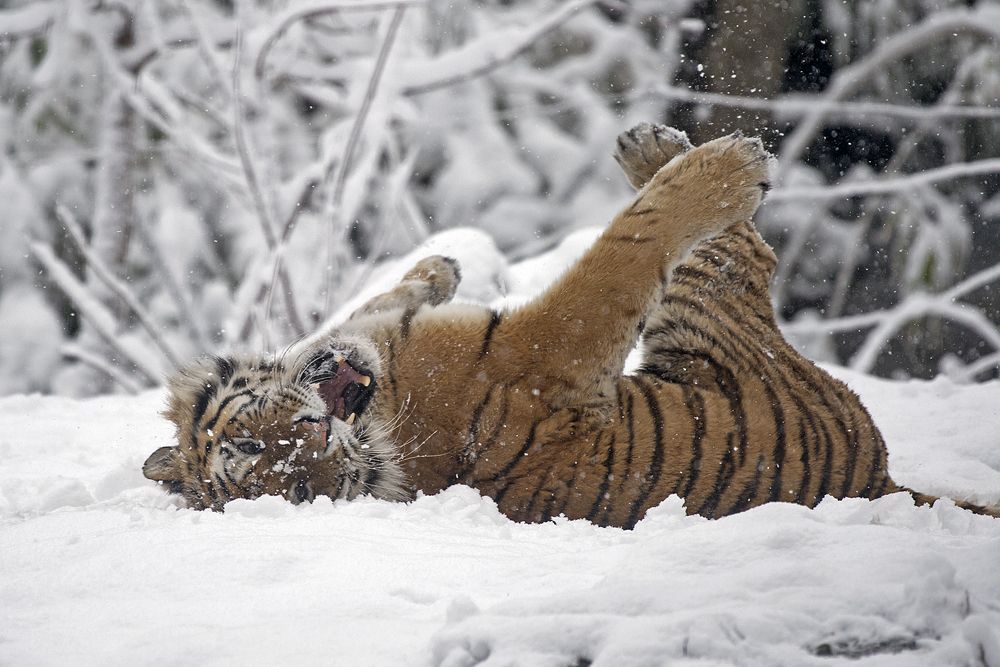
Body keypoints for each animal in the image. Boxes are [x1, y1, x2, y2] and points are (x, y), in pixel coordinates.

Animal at [143, 121, 1000, 528]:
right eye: (295, 494)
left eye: (255, 443)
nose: (318, 437)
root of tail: (882, 480)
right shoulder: (551, 345)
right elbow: (629, 245)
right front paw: (707, 176)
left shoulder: (365, 335)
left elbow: (371, 300)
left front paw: (438, 264)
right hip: (708, 331)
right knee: (738, 250)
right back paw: (708, 156)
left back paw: (653, 142)